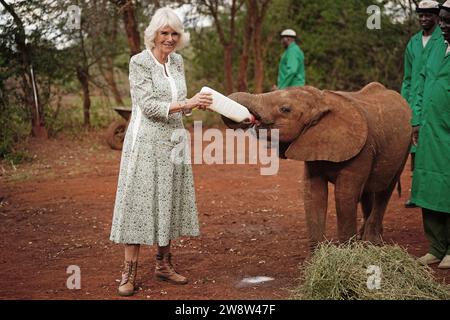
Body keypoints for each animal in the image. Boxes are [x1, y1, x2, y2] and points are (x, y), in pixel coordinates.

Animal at [224, 81, 412, 249]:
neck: (322, 101)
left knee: (384, 191)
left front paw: (347, 253)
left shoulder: (362, 150)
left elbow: (345, 196)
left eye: (285, 109)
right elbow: (313, 193)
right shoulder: (312, 142)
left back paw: (372, 242)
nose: (248, 120)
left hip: (405, 147)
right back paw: (364, 238)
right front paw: (318, 256)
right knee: (368, 192)